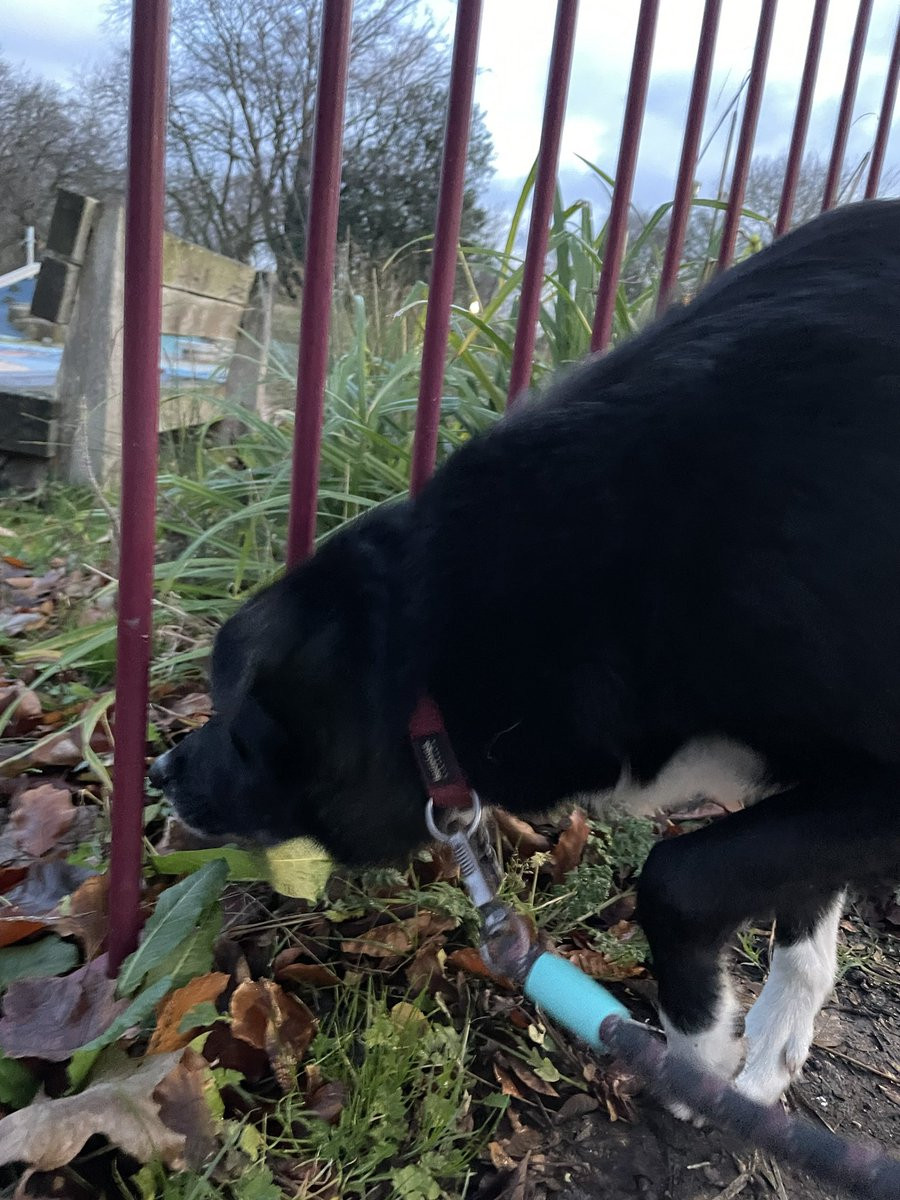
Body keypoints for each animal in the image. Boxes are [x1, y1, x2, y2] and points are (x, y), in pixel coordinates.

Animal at [151, 199, 900, 1107]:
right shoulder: (825, 781)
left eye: (234, 722)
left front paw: (700, 1061)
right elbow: (800, 909)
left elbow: (678, 877)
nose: (161, 770)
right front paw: (763, 1058)